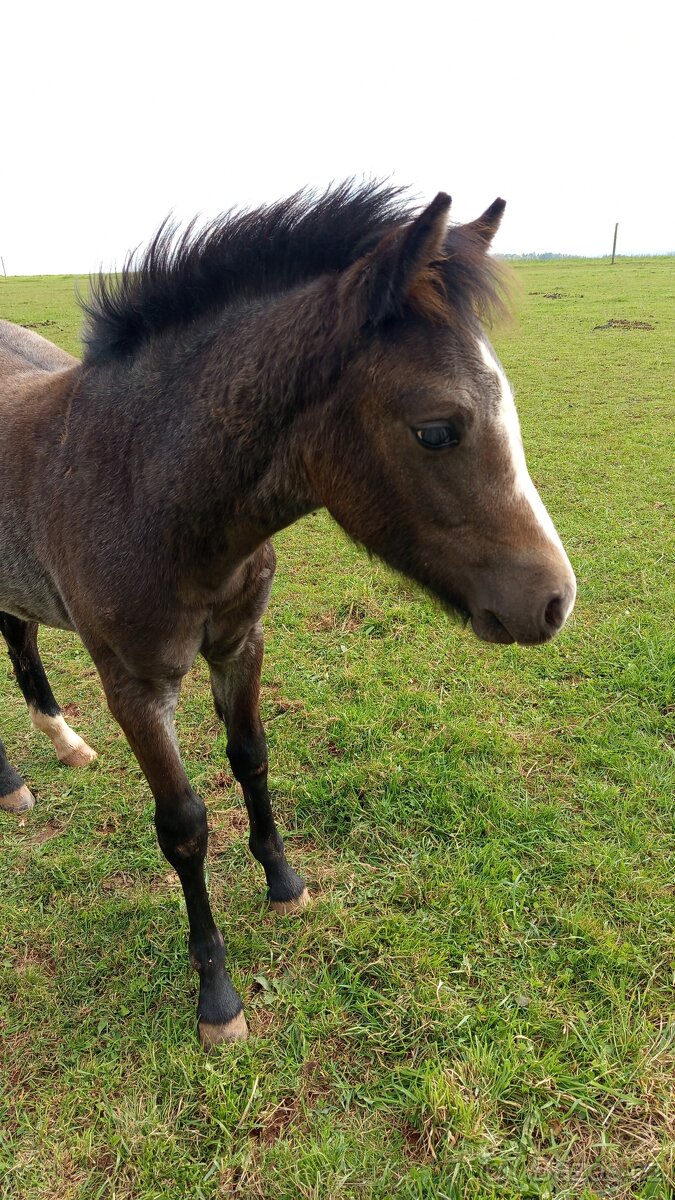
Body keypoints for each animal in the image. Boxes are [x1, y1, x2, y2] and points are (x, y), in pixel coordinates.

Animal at [0, 183, 576, 1047]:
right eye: (435, 429)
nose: (553, 601)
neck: (139, 485)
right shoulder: (135, 686)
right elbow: (183, 825)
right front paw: (216, 996)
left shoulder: (241, 644)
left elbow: (251, 758)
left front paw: (283, 880)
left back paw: (61, 745)